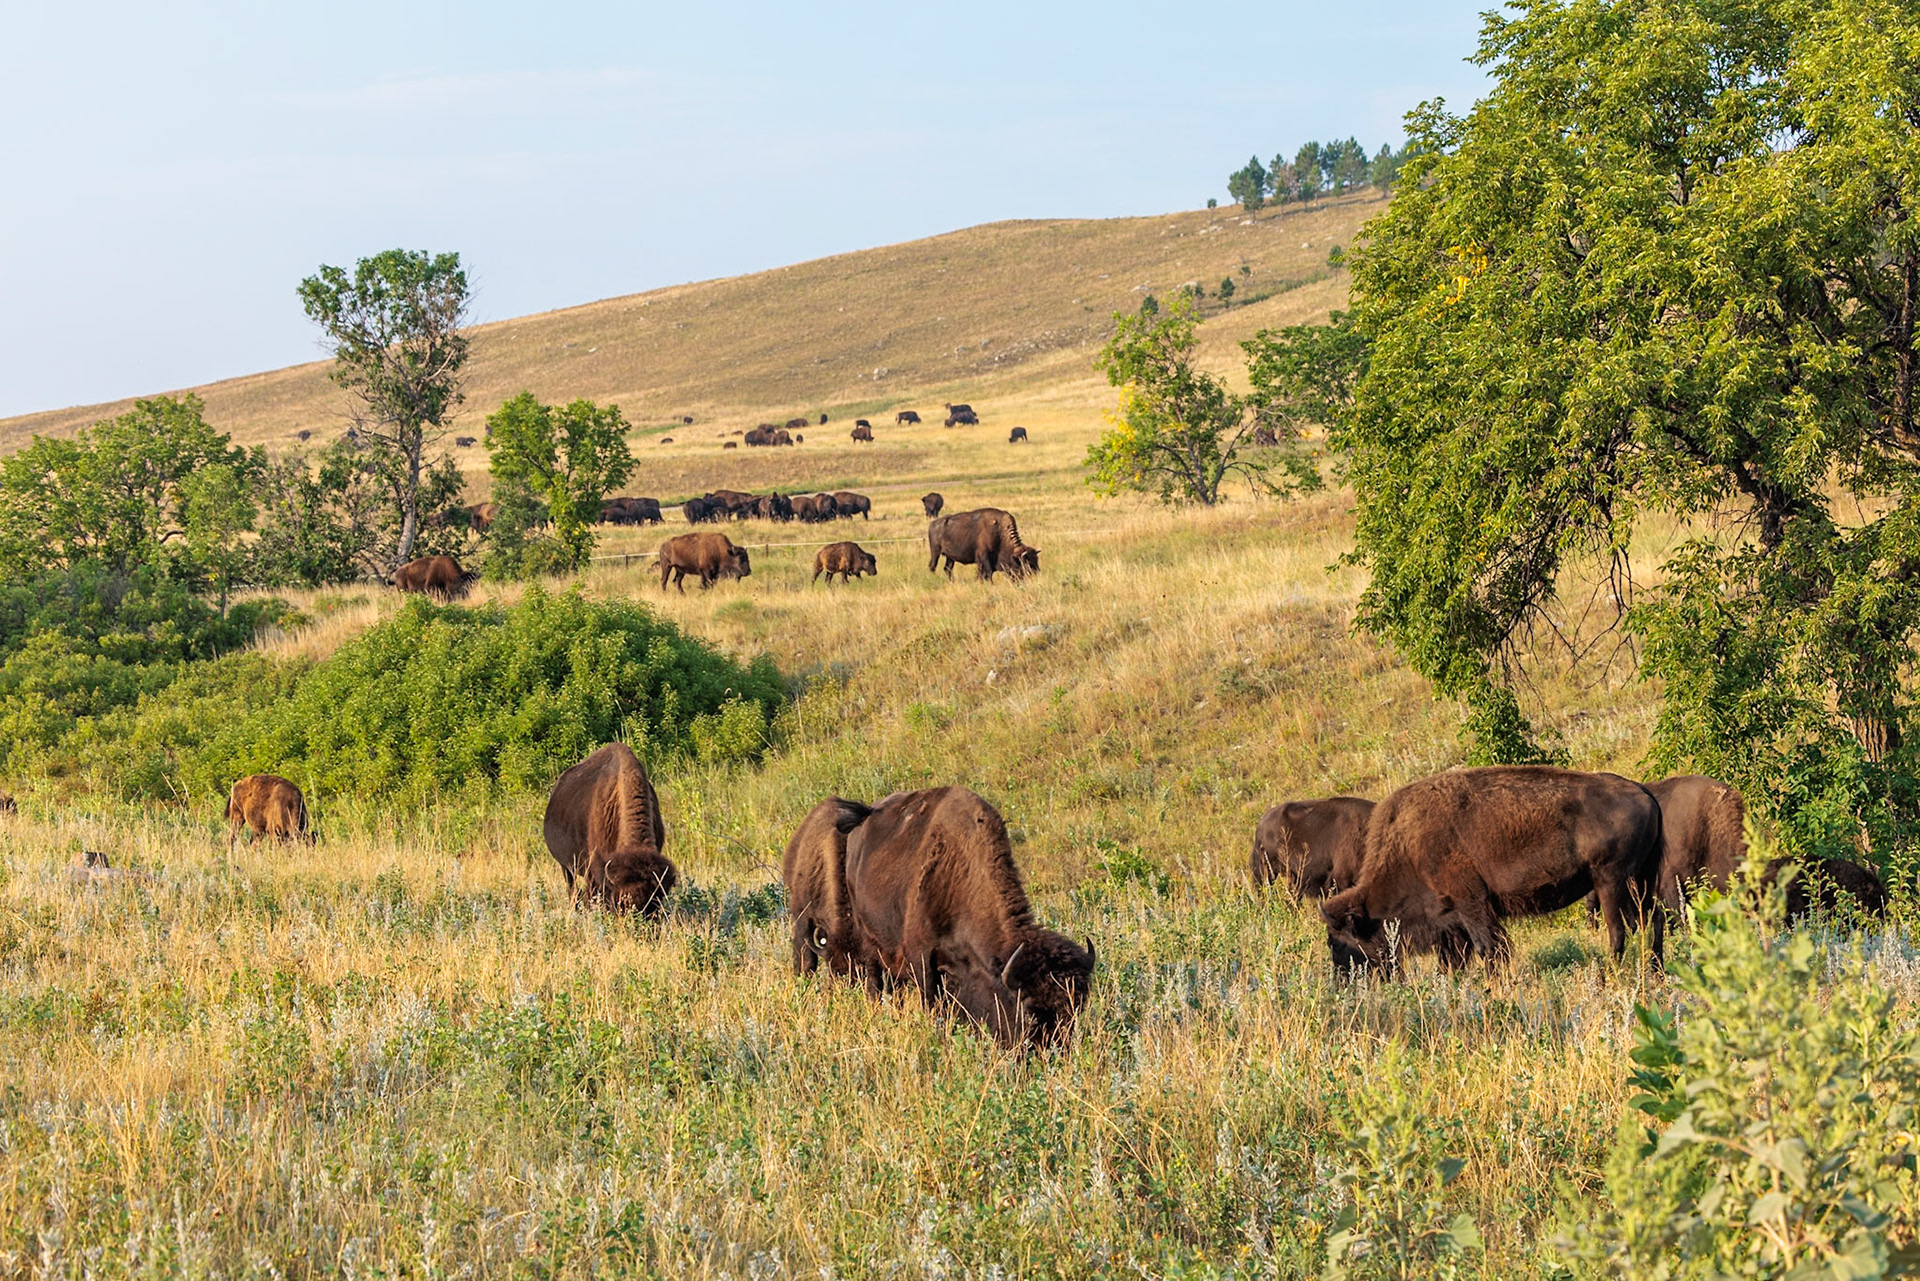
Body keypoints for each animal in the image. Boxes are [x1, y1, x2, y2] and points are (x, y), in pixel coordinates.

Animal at [841, 786, 1097, 1050]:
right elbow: (932, 1004)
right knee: (875, 981)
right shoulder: (922, 959)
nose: (1052, 1051)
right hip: (868, 940)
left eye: (1077, 1007)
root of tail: (863, 820)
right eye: (1028, 1009)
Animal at [1322, 767, 1664, 973]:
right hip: (1642, 880)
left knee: (1620, 929)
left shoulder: (1471, 903)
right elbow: (1458, 959)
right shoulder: (1453, 920)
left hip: (1611, 881)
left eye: (1337, 941)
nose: (1344, 981)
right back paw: (1655, 970)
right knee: (1653, 920)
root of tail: (1642, 792)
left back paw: (1614, 972)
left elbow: (1489, 948)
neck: (1409, 845)